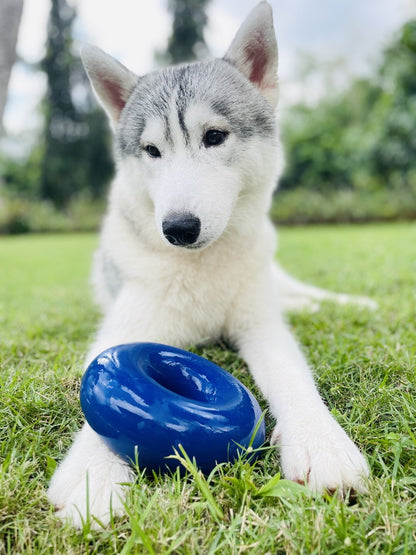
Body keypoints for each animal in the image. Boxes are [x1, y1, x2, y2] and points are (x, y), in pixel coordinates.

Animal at [48, 1, 370, 528]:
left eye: (214, 137)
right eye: (152, 151)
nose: (178, 228)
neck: (201, 269)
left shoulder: (260, 325)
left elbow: (292, 375)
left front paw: (321, 441)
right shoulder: (125, 328)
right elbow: (102, 380)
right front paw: (93, 472)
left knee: (300, 294)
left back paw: (345, 304)